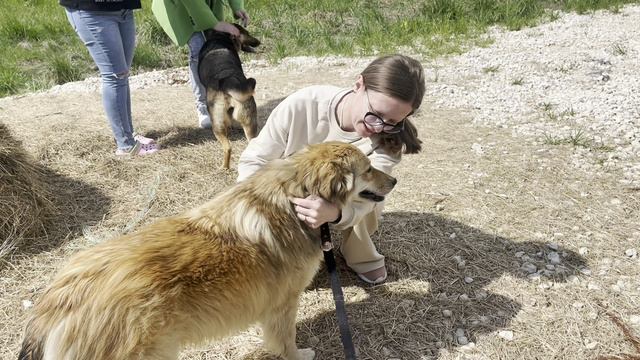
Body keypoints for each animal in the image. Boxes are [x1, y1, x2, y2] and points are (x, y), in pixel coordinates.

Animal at [18, 142, 396, 360]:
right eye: (367, 169)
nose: (394, 180)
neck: (294, 196)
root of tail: (59, 299)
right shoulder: (283, 304)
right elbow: (286, 342)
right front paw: (299, 355)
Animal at [199, 24, 262, 169]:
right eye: (247, 33)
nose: (259, 42)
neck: (220, 37)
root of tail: (228, 80)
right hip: (249, 121)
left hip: (216, 125)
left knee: (227, 147)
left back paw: (224, 167)